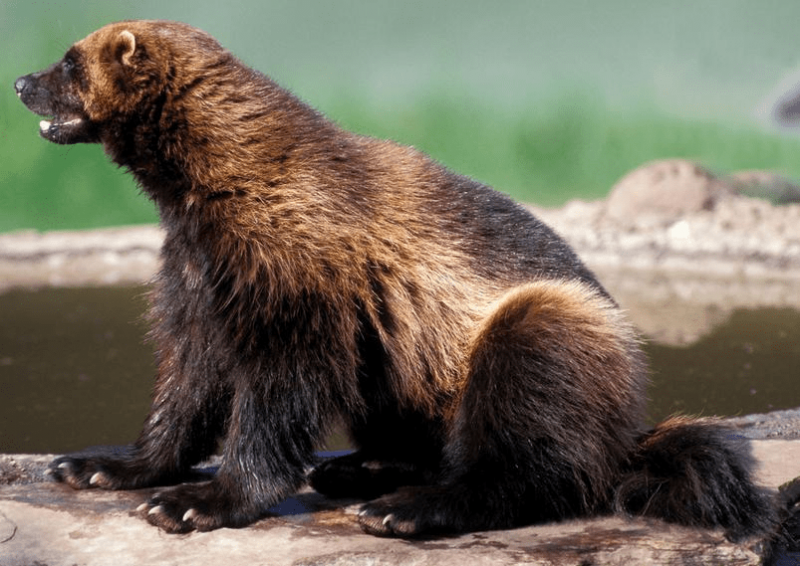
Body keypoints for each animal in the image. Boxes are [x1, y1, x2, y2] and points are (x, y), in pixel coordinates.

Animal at [15, 20, 775, 539]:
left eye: (68, 62)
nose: (21, 83)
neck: (230, 179)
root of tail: (629, 435)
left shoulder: (297, 273)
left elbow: (279, 395)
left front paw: (204, 501)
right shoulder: (200, 276)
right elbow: (187, 385)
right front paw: (109, 466)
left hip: (547, 322)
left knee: (529, 456)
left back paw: (409, 508)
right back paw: (359, 468)